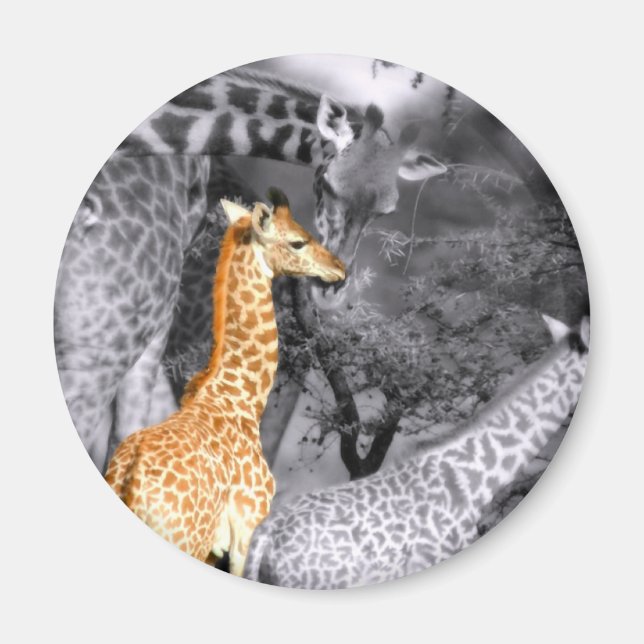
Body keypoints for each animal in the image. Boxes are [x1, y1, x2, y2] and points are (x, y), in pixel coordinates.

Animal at [105, 188, 345, 575]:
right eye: (297, 241)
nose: (339, 268)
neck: (242, 397)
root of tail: (129, 485)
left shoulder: (215, 550)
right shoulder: (246, 531)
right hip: (185, 542)